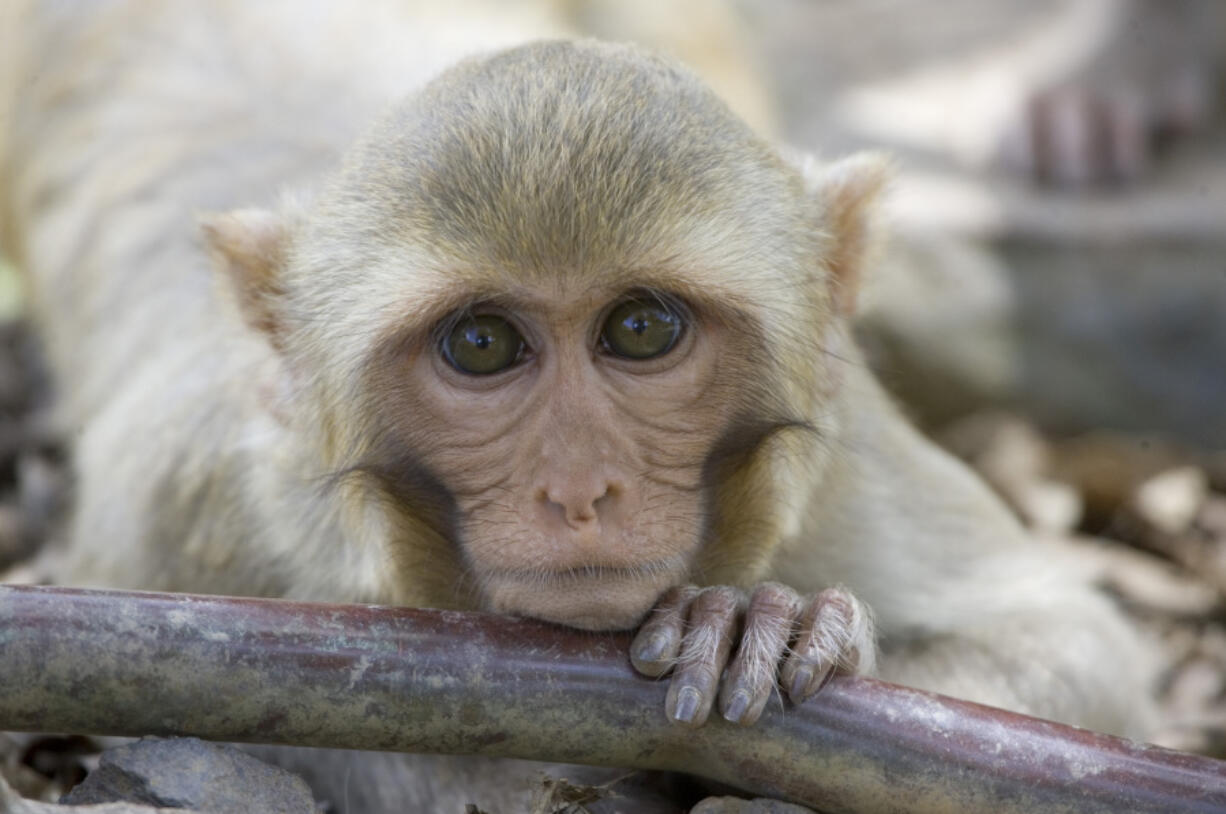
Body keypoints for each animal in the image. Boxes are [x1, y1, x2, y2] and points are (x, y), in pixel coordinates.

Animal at [0, 1, 1152, 814]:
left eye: (640, 329)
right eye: (481, 344)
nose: (579, 487)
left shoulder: (844, 455)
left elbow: (1070, 646)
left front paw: (763, 626)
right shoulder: (182, 507)